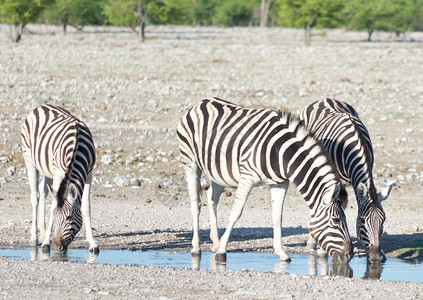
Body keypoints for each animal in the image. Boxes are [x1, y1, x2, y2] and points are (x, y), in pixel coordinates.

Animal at [21, 104, 99, 254]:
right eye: (55, 217)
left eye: (68, 218)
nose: (56, 246)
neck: (76, 148)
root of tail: (41, 106)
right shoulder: (59, 173)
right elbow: (53, 205)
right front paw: (46, 243)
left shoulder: (89, 174)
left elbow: (86, 207)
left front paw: (93, 244)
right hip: (29, 160)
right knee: (35, 196)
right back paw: (35, 238)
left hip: (47, 170)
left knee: (43, 191)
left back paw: (43, 233)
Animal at [177, 97, 352, 264]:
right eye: (336, 220)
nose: (349, 255)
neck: (282, 153)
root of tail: (200, 103)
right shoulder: (247, 178)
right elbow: (236, 213)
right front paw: (222, 251)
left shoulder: (280, 183)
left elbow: (277, 216)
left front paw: (281, 253)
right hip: (190, 162)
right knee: (196, 204)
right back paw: (197, 247)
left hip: (218, 172)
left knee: (212, 198)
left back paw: (215, 243)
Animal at [302, 97, 394, 262]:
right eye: (362, 220)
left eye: (383, 220)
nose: (376, 257)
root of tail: (326, 98)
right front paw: (322, 249)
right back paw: (312, 242)